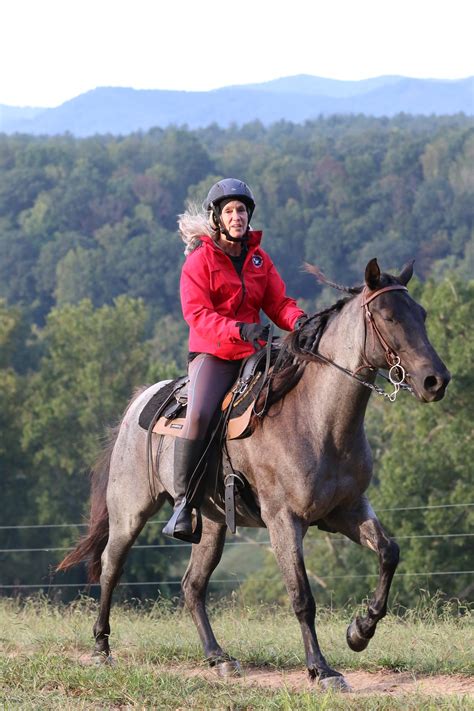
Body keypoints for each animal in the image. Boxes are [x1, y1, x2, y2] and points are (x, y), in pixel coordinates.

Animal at [58, 258, 450, 691]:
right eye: (388, 316)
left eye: (422, 315)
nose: (436, 380)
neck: (317, 420)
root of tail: (140, 401)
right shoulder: (284, 521)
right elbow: (302, 597)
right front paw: (321, 668)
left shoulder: (348, 510)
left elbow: (388, 553)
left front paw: (359, 631)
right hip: (130, 512)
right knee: (111, 565)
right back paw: (101, 648)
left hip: (210, 525)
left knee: (192, 585)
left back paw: (218, 658)